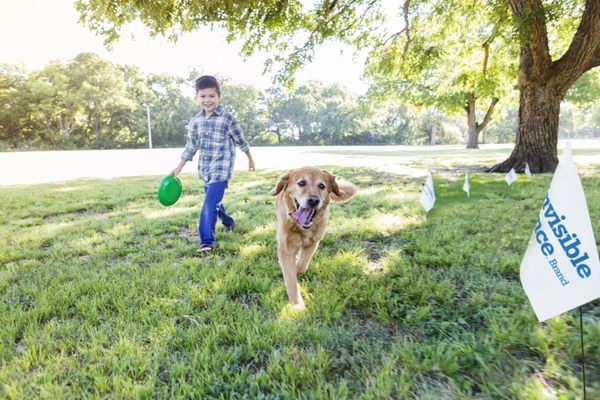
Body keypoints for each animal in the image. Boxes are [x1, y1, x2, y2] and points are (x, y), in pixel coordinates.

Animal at [272, 166, 356, 310]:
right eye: (301, 183)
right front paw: (297, 304)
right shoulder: (285, 248)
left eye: (321, 186)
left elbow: (301, 266)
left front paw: (297, 268)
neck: (301, 227)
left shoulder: (313, 242)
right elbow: (290, 278)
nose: (313, 200)